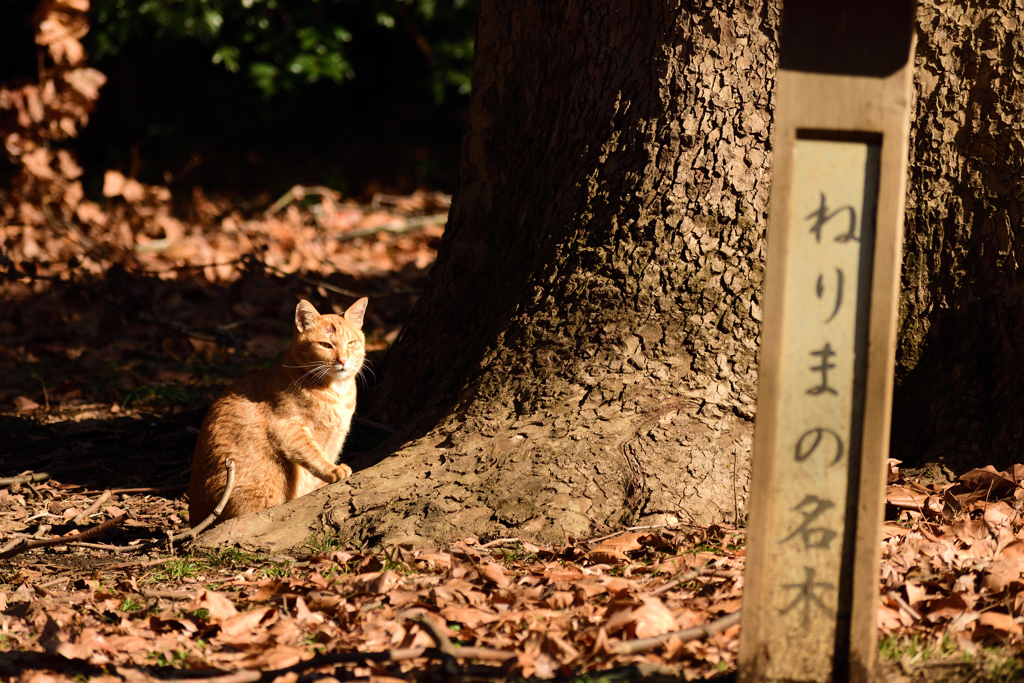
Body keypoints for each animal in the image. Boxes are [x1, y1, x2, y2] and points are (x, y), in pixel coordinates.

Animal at [188, 299, 368, 528]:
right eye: (326, 345)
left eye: (351, 343)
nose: (343, 361)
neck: (336, 391)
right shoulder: (288, 430)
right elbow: (313, 455)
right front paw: (332, 470)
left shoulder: (335, 439)